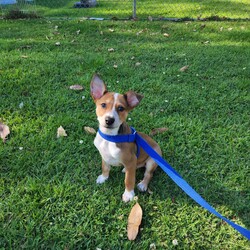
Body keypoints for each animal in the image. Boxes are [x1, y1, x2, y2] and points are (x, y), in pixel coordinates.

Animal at [90, 73, 162, 201]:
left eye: (121, 108)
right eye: (103, 105)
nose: (109, 120)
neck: (110, 137)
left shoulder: (131, 159)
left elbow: (129, 180)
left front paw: (128, 194)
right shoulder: (104, 155)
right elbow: (105, 167)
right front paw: (103, 177)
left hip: (152, 160)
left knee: (148, 174)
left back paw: (143, 184)